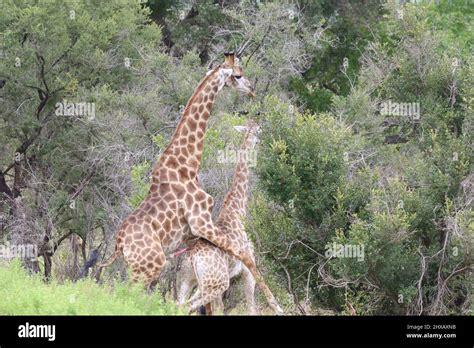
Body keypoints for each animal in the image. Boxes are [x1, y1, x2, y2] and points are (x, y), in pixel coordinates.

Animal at [177, 120, 262, 316]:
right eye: (258, 131)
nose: (260, 141)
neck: (237, 212)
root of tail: (193, 258)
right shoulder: (248, 269)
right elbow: (251, 306)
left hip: (189, 280)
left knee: (179, 304)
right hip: (216, 283)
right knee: (191, 306)